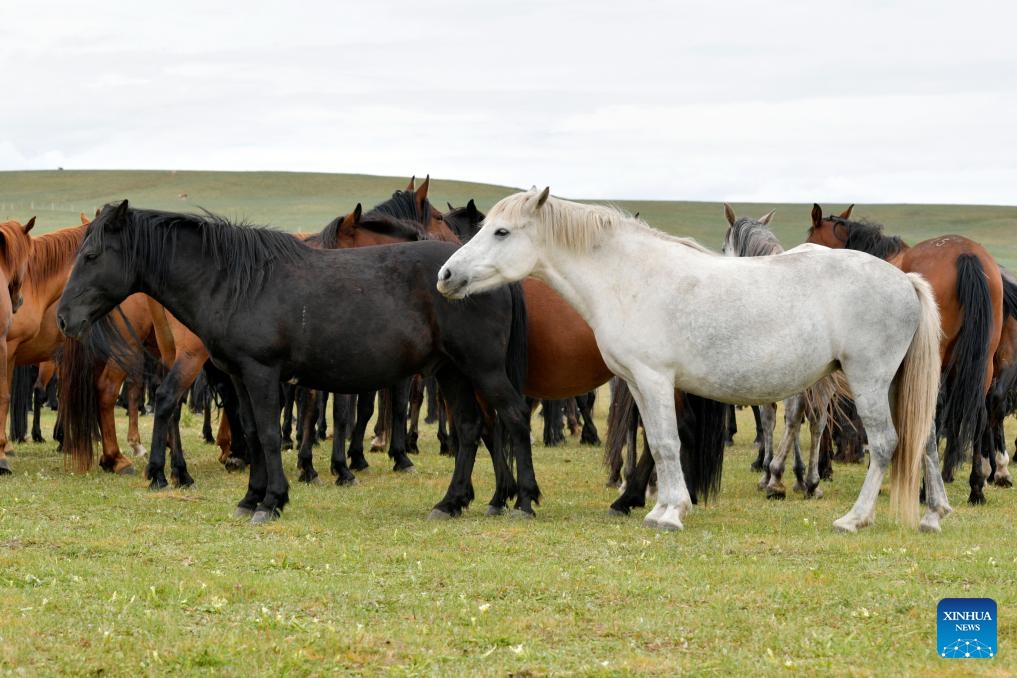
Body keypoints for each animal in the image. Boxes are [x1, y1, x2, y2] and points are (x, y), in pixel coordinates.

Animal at [57, 200, 534, 523]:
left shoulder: (262, 373)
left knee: (512, 416)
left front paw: (273, 501)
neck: (235, 282)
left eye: (92, 255)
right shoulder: (239, 377)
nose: (63, 318)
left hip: (482, 369)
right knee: (472, 428)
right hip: (453, 371)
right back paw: (452, 502)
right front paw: (251, 496)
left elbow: (270, 435)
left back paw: (524, 500)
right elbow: (252, 432)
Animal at [438, 187, 949, 533]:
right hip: (895, 383)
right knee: (923, 439)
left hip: (869, 380)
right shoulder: (639, 384)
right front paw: (661, 506)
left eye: (502, 231)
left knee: (885, 443)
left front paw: (670, 513)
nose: (445, 275)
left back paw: (854, 518)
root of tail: (905, 281)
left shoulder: (655, 379)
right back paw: (933, 513)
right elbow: (658, 444)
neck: (629, 276)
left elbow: (666, 444)